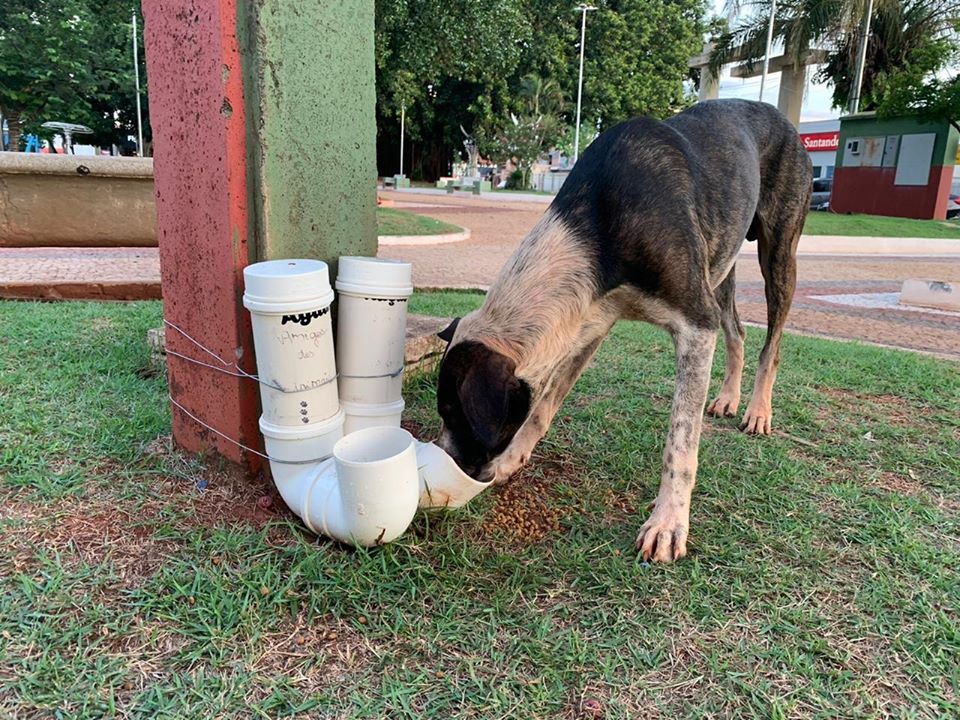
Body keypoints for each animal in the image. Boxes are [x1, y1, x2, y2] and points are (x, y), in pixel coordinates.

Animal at [436, 100, 808, 564]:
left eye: (456, 415)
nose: (450, 467)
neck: (600, 223)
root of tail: (781, 117)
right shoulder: (590, 321)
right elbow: (545, 404)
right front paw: (514, 458)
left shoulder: (696, 325)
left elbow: (680, 443)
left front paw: (668, 523)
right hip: (720, 264)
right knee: (737, 330)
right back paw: (728, 397)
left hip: (778, 251)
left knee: (771, 343)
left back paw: (758, 410)